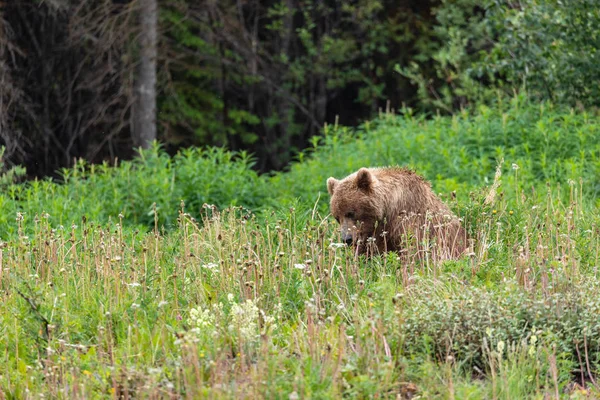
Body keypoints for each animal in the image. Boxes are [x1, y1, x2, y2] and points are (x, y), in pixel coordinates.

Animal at [326, 167, 466, 260]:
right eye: (337, 217)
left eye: (351, 213)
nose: (347, 239)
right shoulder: (371, 234)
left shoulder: (406, 217)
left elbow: (413, 249)